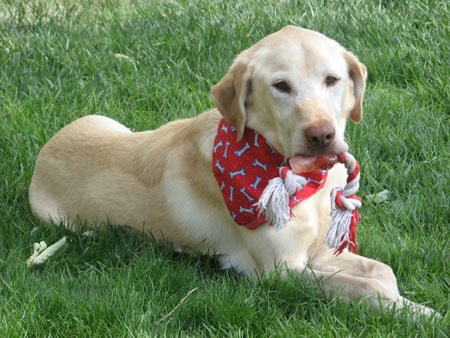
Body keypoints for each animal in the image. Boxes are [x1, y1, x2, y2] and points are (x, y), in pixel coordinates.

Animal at [28, 25, 436, 316]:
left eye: (332, 80)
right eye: (281, 85)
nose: (322, 135)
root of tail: (43, 154)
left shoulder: (320, 252)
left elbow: (383, 272)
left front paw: (413, 305)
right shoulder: (279, 273)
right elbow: (366, 287)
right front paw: (418, 314)